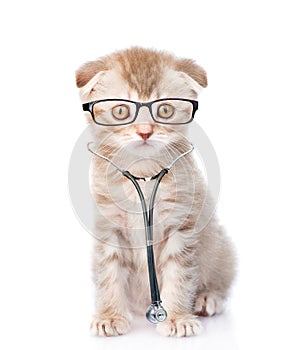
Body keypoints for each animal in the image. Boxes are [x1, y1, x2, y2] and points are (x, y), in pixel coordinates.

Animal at [75, 47, 236, 338]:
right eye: (120, 111)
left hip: (221, 249)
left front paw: (178, 318)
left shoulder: (181, 226)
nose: (145, 132)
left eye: (165, 109)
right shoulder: (108, 228)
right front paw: (110, 316)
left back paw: (207, 298)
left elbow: (179, 274)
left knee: (220, 279)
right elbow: (108, 272)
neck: (144, 174)